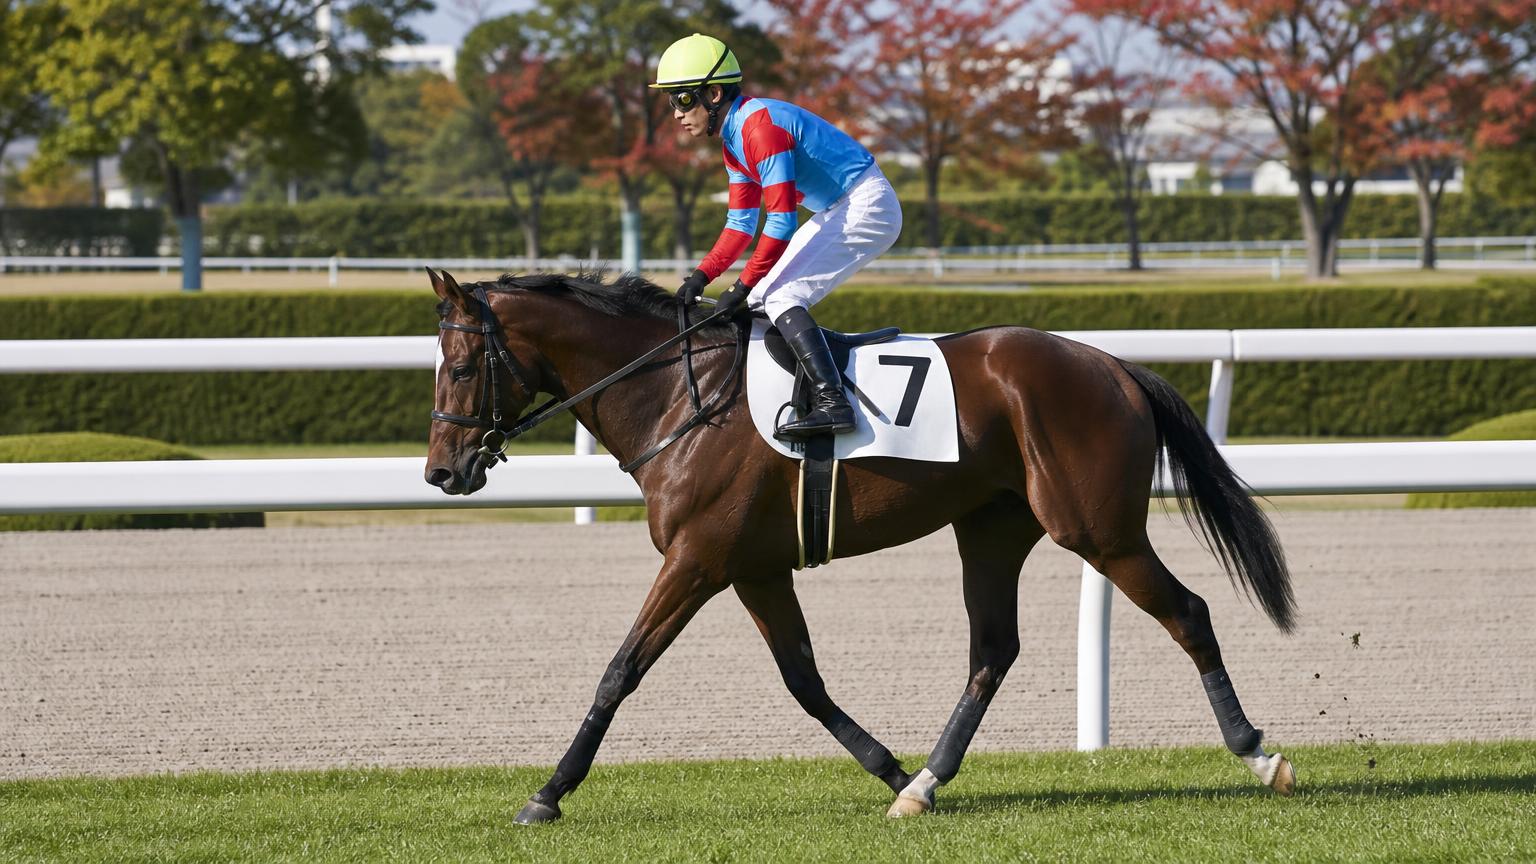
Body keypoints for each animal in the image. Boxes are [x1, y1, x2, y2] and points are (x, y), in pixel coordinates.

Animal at [423, 267, 1298, 823]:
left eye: (461, 366)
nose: (440, 471)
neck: (677, 394)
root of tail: (1114, 365)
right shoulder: (755, 568)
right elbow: (805, 682)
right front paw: (891, 770)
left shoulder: (698, 560)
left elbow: (620, 670)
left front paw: (548, 792)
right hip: (992, 529)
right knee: (992, 651)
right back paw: (926, 785)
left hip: (1098, 528)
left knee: (1188, 613)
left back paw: (1260, 754)